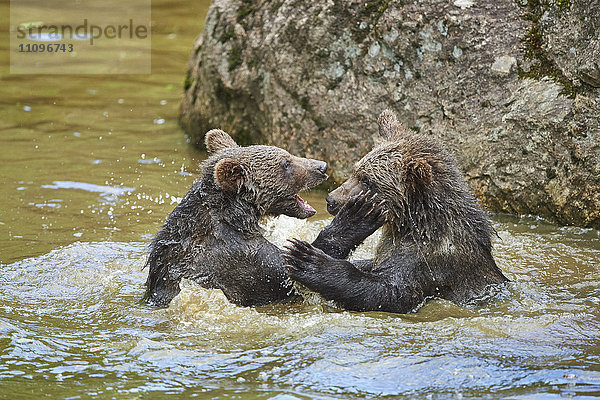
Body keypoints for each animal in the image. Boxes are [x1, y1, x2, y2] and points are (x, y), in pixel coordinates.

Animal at [143, 130, 382, 308]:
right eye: (286, 163)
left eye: (288, 155)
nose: (321, 167)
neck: (235, 218)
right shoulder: (239, 258)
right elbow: (289, 276)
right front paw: (357, 214)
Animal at [284, 111, 508, 314]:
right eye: (356, 171)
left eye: (368, 181)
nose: (331, 200)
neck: (413, 225)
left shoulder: (431, 263)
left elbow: (390, 293)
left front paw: (308, 259)